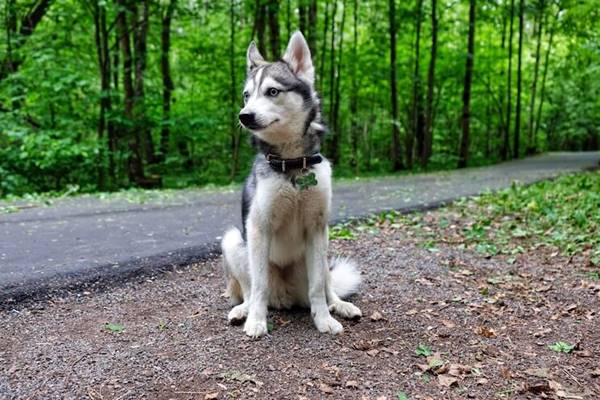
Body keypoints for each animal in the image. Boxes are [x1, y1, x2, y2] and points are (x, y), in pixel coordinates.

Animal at [220, 32, 360, 338]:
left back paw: (339, 305)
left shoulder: (317, 227)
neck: (293, 165)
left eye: (272, 91)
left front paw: (323, 320)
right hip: (234, 240)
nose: (244, 115)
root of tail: (285, 297)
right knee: (250, 290)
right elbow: (259, 285)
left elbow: (318, 286)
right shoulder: (258, 227)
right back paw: (243, 310)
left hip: (322, 250)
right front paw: (256, 321)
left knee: (326, 285)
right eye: (247, 95)